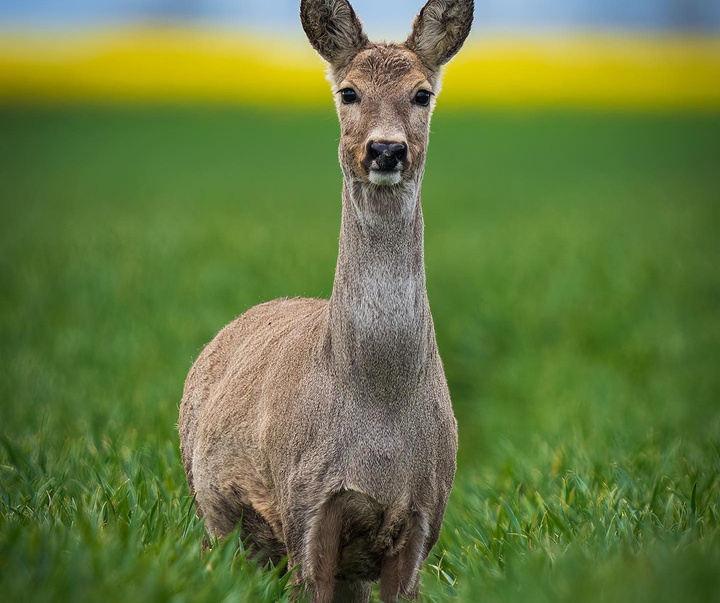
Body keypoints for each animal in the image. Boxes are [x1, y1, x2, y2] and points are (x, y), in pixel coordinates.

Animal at [179, 0, 472, 600]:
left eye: (422, 93)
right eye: (348, 92)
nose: (386, 149)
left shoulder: (425, 513)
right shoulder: (306, 503)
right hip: (212, 510)